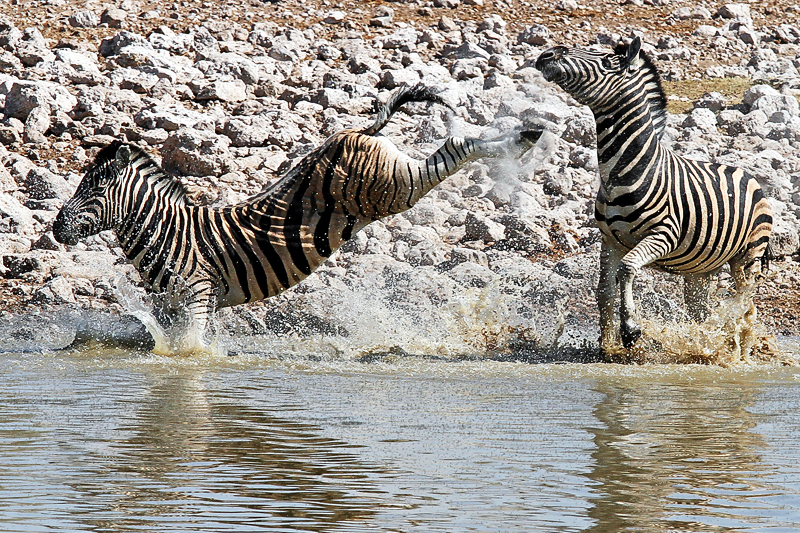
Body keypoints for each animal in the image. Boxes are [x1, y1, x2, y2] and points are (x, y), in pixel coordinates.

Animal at [52, 85, 542, 352]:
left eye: (93, 190)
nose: (56, 228)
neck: (167, 233)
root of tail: (351, 132)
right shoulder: (170, 308)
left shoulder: (196, 297)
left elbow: (190, 353)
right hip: (393, 183)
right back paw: (527, 135)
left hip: (393, 189)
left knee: (458, 143)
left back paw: (525, 138)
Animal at [535, 37, 773, 356]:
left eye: (607, 61)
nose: (547, 54)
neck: (622, 172)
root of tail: (749, 176)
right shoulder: (610, 240)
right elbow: (604, 290)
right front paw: (607, 346)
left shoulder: (663, 234)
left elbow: (626, 270)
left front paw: (630, 330)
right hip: (700, 269)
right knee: (701, 311)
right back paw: (704, 344)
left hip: (748, 256)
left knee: (746, 305)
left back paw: (740, 351)